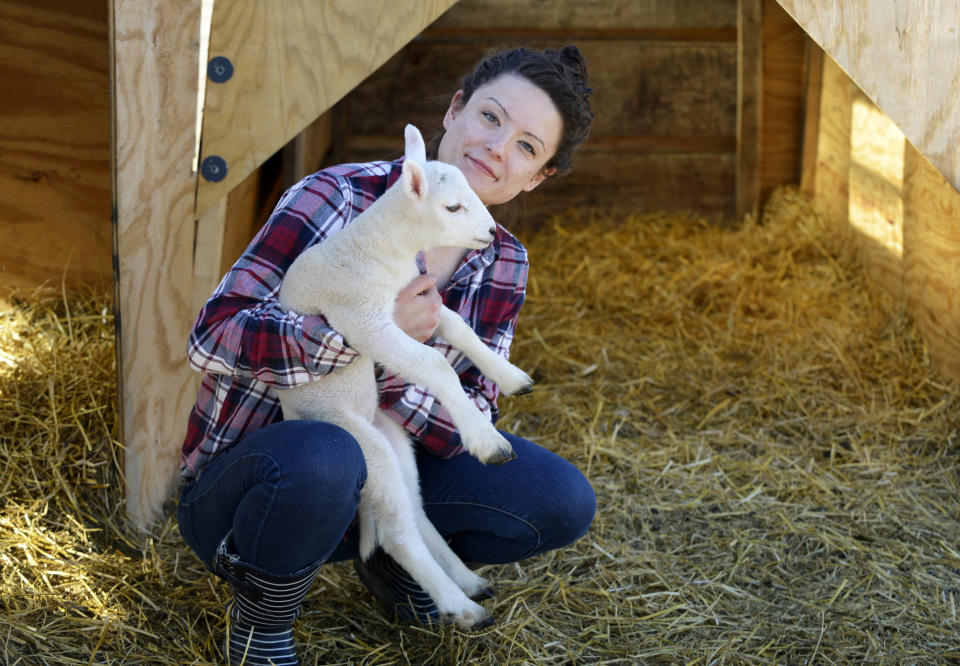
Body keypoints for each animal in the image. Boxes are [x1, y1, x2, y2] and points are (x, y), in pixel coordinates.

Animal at [276, 124, 532, 628]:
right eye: (452, 207)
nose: (491, 232)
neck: (375, 250)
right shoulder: (363, 321)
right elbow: (434, 363)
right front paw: (486, 440)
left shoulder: (409, 299)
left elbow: (457, 325)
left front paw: (510, 375)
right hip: (364, 446)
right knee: (397, 535)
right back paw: (461, 606)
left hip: (396, 442)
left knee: (415, 512)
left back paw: (468, 581)